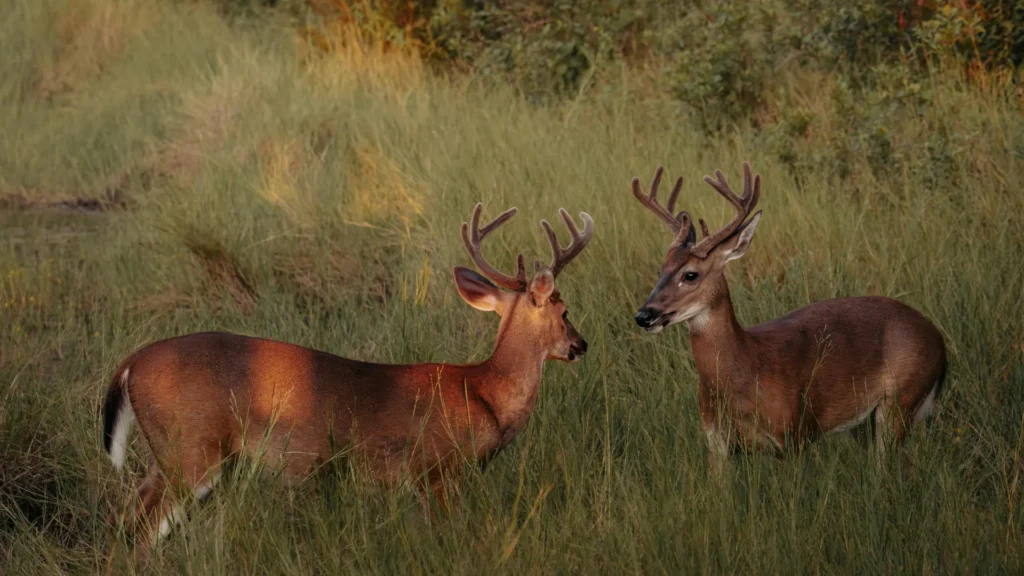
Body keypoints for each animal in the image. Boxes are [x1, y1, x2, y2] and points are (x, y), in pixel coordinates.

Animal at [101, 202, 593, 548]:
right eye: (565, 311)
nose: (581, 345)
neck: (484, 392)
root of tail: (130, 364)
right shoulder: (436, 470)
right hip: (193, 449)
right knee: (141, 530)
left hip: (168, 452)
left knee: (122, 518)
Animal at [629, 162, 946, 465]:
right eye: (660, 270)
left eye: (691, 274)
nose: (644, 315)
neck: (745, 368)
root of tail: (939, 342)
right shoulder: (716, 443)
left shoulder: (793, 434)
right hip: (867, 422)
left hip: (901, 399)